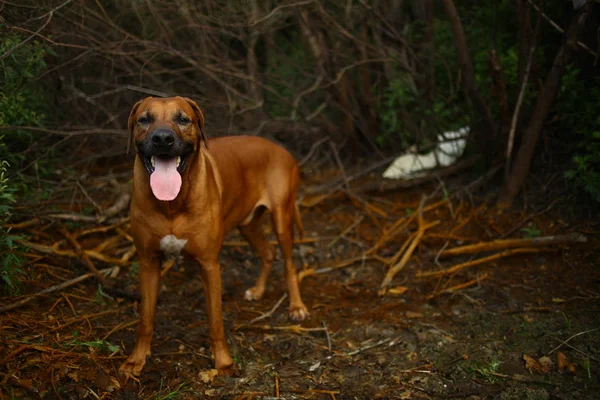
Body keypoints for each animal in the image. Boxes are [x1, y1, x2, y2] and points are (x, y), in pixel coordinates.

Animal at [121, 97, 310, 378]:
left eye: (183, 119)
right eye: (144, 119)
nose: (162, 139)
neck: (171, 204)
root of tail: (281, 149)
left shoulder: (209, 264)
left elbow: (215, 320)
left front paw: (223, 362)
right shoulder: (148, 261)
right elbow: (145, 318)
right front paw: (136, 359)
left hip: (281, 217)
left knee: (288, 262)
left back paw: (296, 306)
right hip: (247, 224)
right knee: (268, 253)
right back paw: (258, 290)